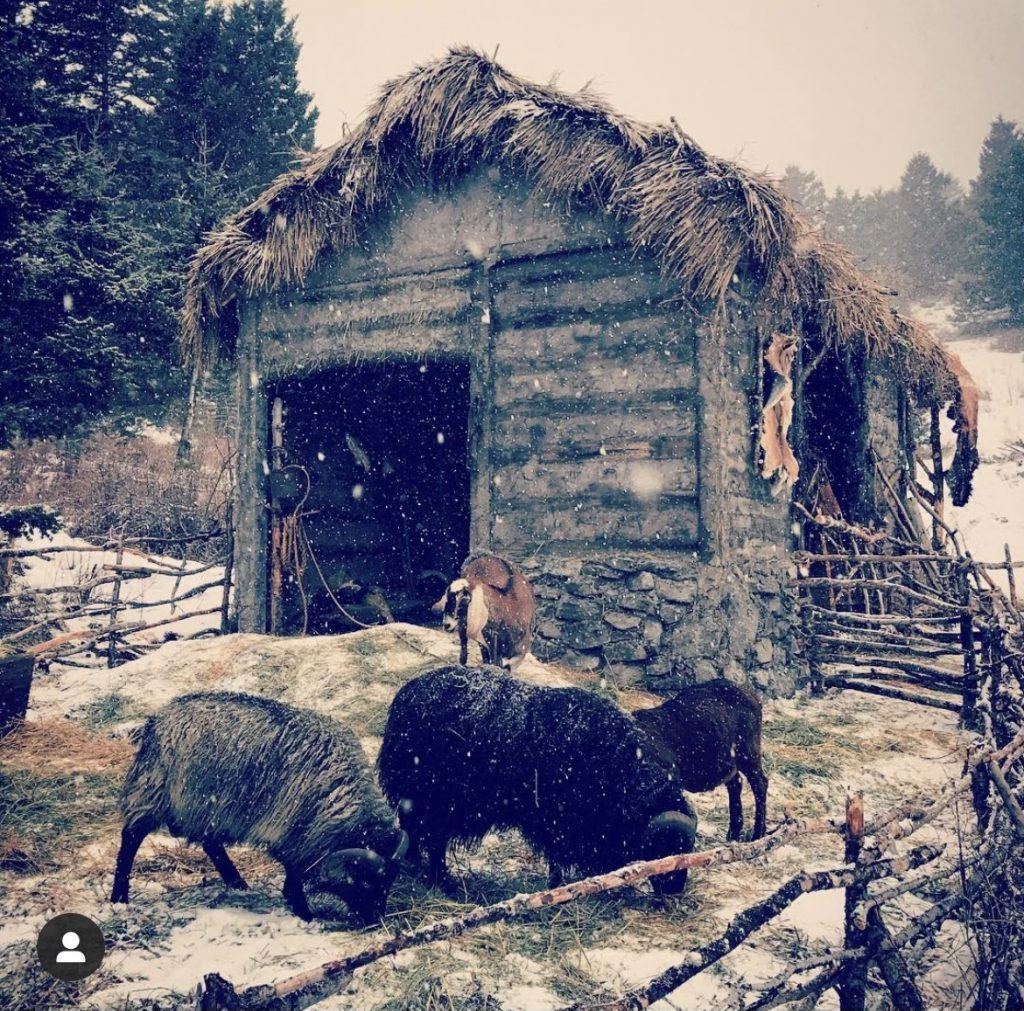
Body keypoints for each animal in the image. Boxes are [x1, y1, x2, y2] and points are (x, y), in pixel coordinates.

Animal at [108, 692, 403, 921]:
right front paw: (305, 914)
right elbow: (293, 874)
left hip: (208, 809)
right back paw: (119, 897)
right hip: (155, 790)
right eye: (364, 880)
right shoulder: (290, 830)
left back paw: (238, 883)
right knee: (131, 837)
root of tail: (156, 720)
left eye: (389, 880)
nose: (376, 920)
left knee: (211, 844)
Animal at [380, 663, 700, 893]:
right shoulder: (559, 820)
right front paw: (560, 888)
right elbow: (558, 856)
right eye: (665, 848)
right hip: (434, 798)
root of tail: (406, 696)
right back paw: (443, 883)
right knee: (430, 838)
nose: (675, 891)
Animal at [630, 680, 770, 844]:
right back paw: (733, 834)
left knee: (760, 784)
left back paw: (758, 834)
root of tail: (751, 694)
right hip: (728, 760)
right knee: (735, 784)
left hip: (748, 751)